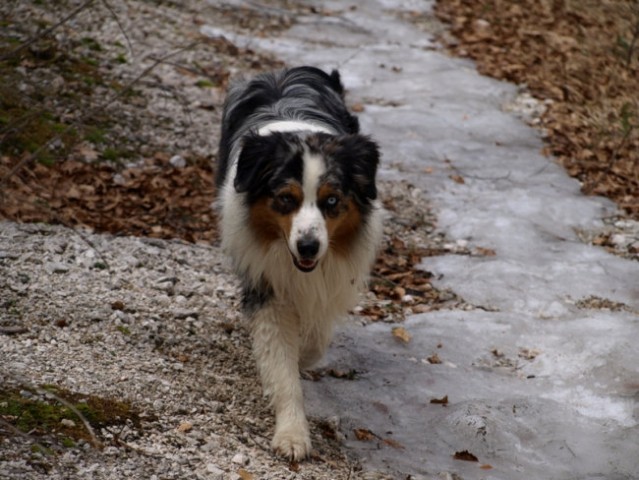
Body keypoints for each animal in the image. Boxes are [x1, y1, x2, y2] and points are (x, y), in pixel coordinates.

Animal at [215, 65, 384, 460]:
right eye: (285, 199)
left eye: (332, 201)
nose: (308, 247)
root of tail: (282, 73)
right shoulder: (265, 286)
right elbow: (282, 368)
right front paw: (292, 434)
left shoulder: (331, 281)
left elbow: (316, 339)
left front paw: (305, 356)